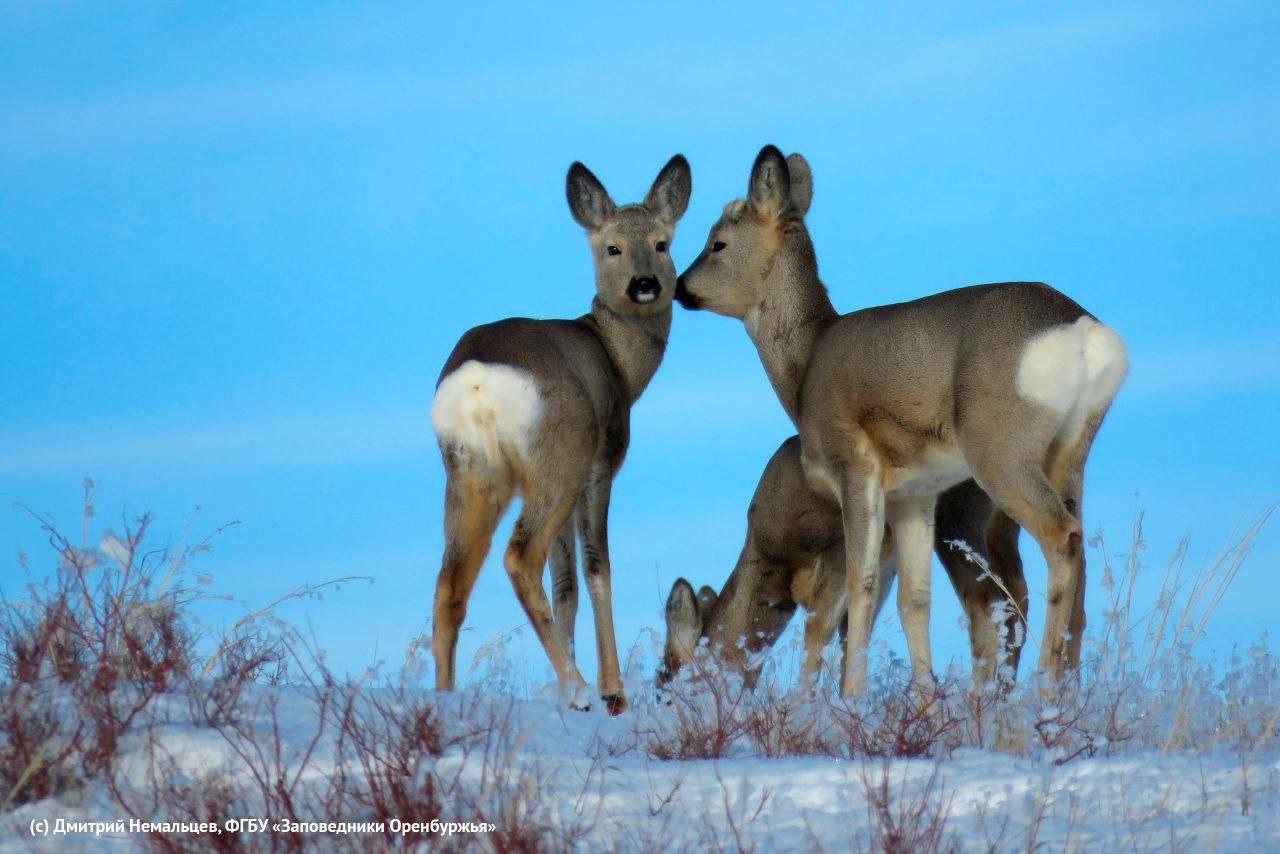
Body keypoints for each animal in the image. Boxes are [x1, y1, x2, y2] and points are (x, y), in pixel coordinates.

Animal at [430, 155, 691, 717]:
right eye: (611, 247)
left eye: (662, 243)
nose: (644, 284)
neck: (618, 362)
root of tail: (477, 381)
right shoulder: (600, 465)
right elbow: (595, 570)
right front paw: (613, 691)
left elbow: (565, 583)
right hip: (559, 458)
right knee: (518, 557)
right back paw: (579, 688)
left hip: (472, 473)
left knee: (451, 583)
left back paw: (445, 695)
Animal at [660, 437, 1029, 691]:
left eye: (666, 689)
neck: (775, 556)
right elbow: (849, 632)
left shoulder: (837, 545)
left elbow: (820, 628)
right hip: (1000, 528)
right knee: (1015, 597)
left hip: (960, 518)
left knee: (988, 604)